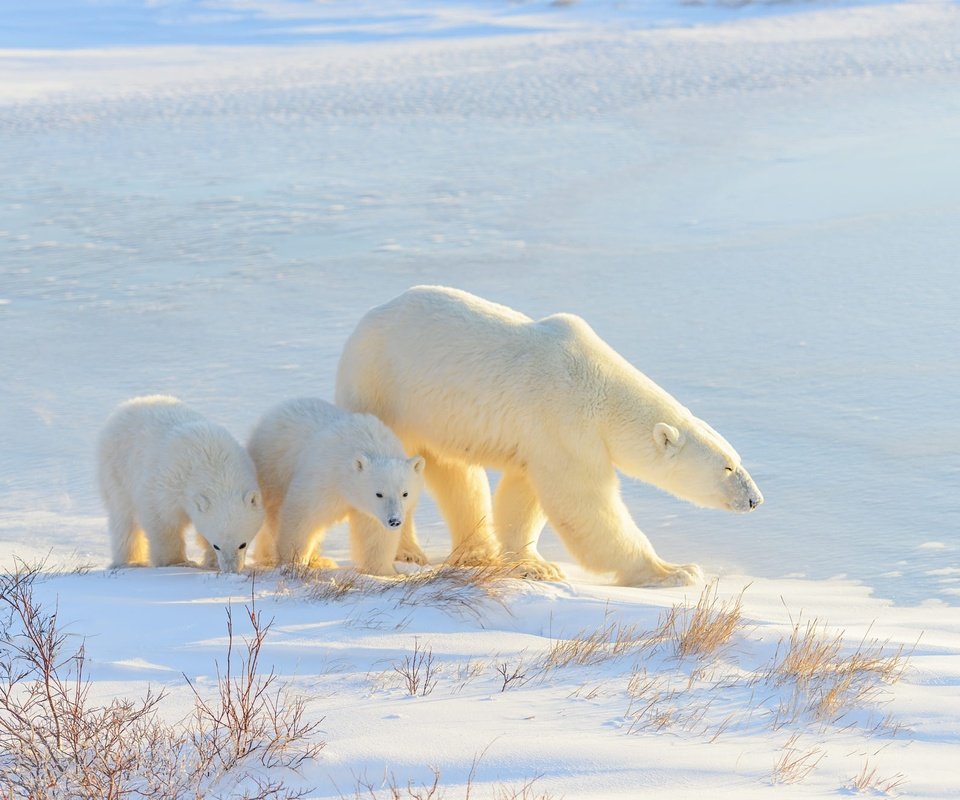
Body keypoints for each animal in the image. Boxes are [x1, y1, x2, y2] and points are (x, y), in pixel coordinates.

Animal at [98, 396, 264, 572]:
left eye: (242, 544)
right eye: (217, 545)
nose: (231, 570)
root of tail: (127, 405)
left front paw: (210, 562)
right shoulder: (167, 483)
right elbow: (162, 521)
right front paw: (177, 562)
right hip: (117, 469)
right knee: (124, 518)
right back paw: (130, 561)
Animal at [246, 398, 426, 576]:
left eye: (405, 493)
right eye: (379, 494)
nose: (394, 520)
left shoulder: (368, 509)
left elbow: (375, 532)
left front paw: (386, 572)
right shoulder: (325, 477)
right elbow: (302, 514)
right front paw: (293, 562)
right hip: (274, 467)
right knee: (275, 511)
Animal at [338, 288, 764, 588]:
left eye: (738, 460)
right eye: (727, 467)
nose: (755, 500)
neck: (602, 389)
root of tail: (366, 319)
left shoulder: (541, 439)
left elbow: (523, 496)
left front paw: (534, 565)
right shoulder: (565, 422)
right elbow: (584, 504)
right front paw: (675, 570)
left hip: (437, 415)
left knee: (456, 473)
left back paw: (477, 552)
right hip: (384, 389)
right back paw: (408, 551)